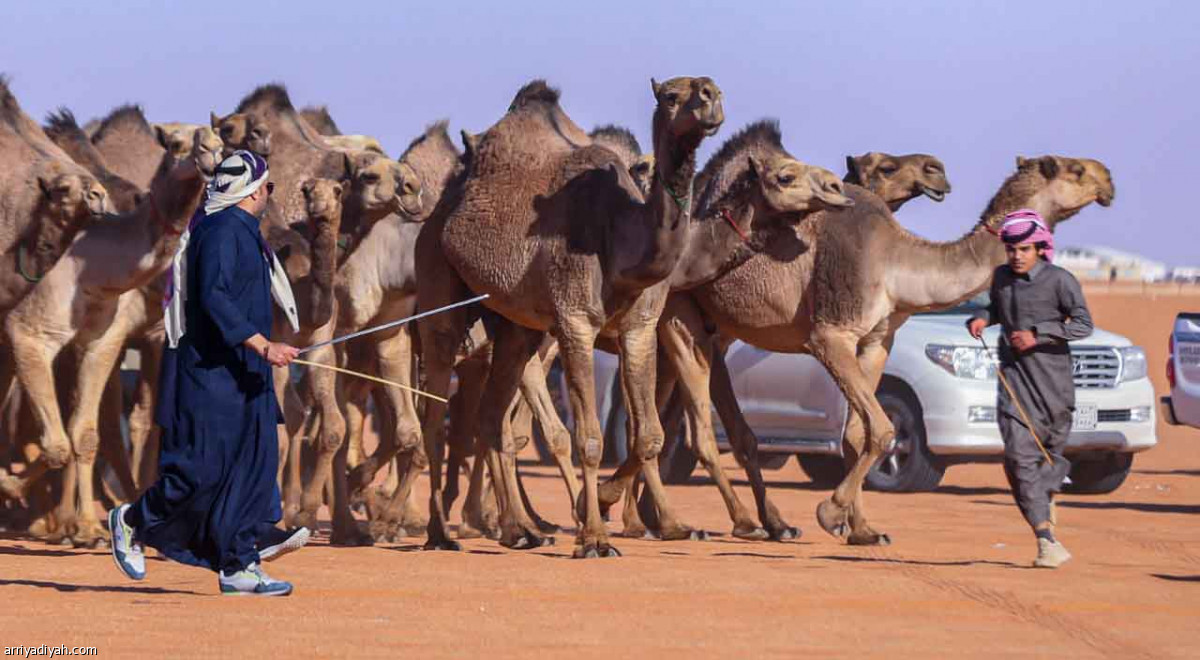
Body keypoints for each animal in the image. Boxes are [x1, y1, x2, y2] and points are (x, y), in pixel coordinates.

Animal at [1, 126, 222, 544]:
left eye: (221, 142)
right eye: (175, 143)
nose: (209, 152)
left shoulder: (102, 341)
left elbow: (84, 434)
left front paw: (86, 527)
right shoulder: (31, 333)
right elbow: (58, 443)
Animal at [412, 77, 724, 559]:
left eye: (710, 88)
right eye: (671, 96)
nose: (710, 96)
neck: (624, 238)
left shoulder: (640, 328)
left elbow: (649, 435)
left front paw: (598, 505)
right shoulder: (575, 321)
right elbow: (590, 439)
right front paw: (593, 537)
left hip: (516, 327)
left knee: (491, 417)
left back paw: (519, 531)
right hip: (436, 283)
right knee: (434, 414)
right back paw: (441, 533)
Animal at [657, 154, 1113, 549]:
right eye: (1074, 169)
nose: (1108, 179)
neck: (896, 263)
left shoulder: (877, 341)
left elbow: (859, 434)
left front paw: (862, 530)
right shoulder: (831, 334)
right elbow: (882, 428)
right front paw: (830, 514)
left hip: (709, 327)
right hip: (679, 314)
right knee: (693, 429)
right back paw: (722, 524)